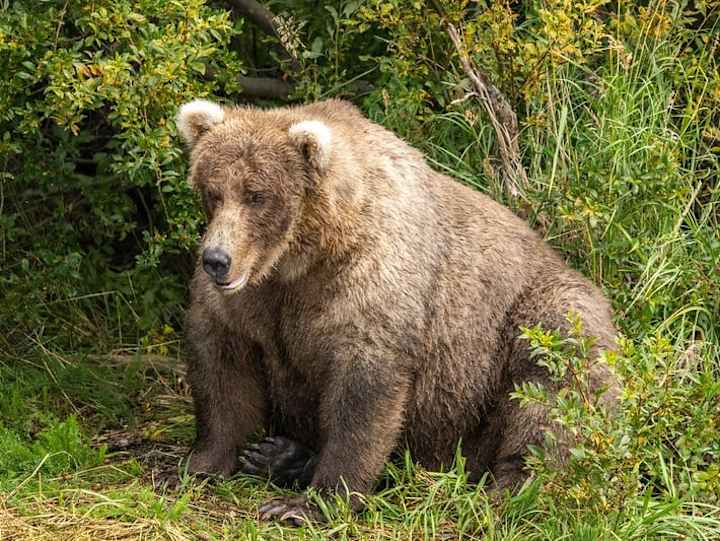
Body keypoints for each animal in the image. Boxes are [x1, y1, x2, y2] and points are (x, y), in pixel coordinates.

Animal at [176, 97, 620, 524]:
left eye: (257, 195)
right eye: (213, 191)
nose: (216, 260)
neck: (302, 259)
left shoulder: (370, 286)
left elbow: (363, 395)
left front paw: (308, 504)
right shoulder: (252, 302)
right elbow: (222, 370)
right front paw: (198, 465)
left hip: (531, 325)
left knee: (551, 392)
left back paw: (509, 489)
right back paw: (281, 455)